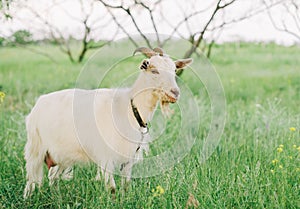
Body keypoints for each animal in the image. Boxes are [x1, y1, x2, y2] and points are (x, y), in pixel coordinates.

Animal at [23, 46, 192, 198]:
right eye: (154, 70)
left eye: (174, 71)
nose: (175, 93)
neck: (129, 107)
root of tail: (38, 104)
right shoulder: (105, 156)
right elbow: (112, 188)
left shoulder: (128, 157)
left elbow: (126, 185)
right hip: (36, 148)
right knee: (31, 180)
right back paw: (28, 198)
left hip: (62, 154)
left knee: (53, 176)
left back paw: (56, 197)